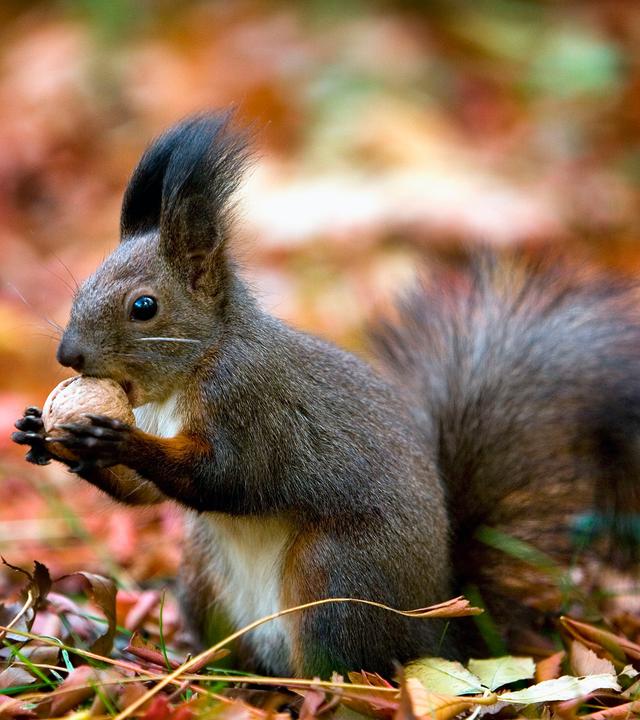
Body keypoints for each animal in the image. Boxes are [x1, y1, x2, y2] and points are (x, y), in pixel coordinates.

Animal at [11, 111, 640, 678]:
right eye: (84, 286)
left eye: (144, 307)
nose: (68, 356)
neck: (186, 374)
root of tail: (437, 627)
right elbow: (144, 495)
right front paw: (43, 433)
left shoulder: (250, 404)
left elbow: (227, 478)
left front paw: (115, 439)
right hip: (202, 577)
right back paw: (196, 665)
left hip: (333, 579)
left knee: (337, 663)